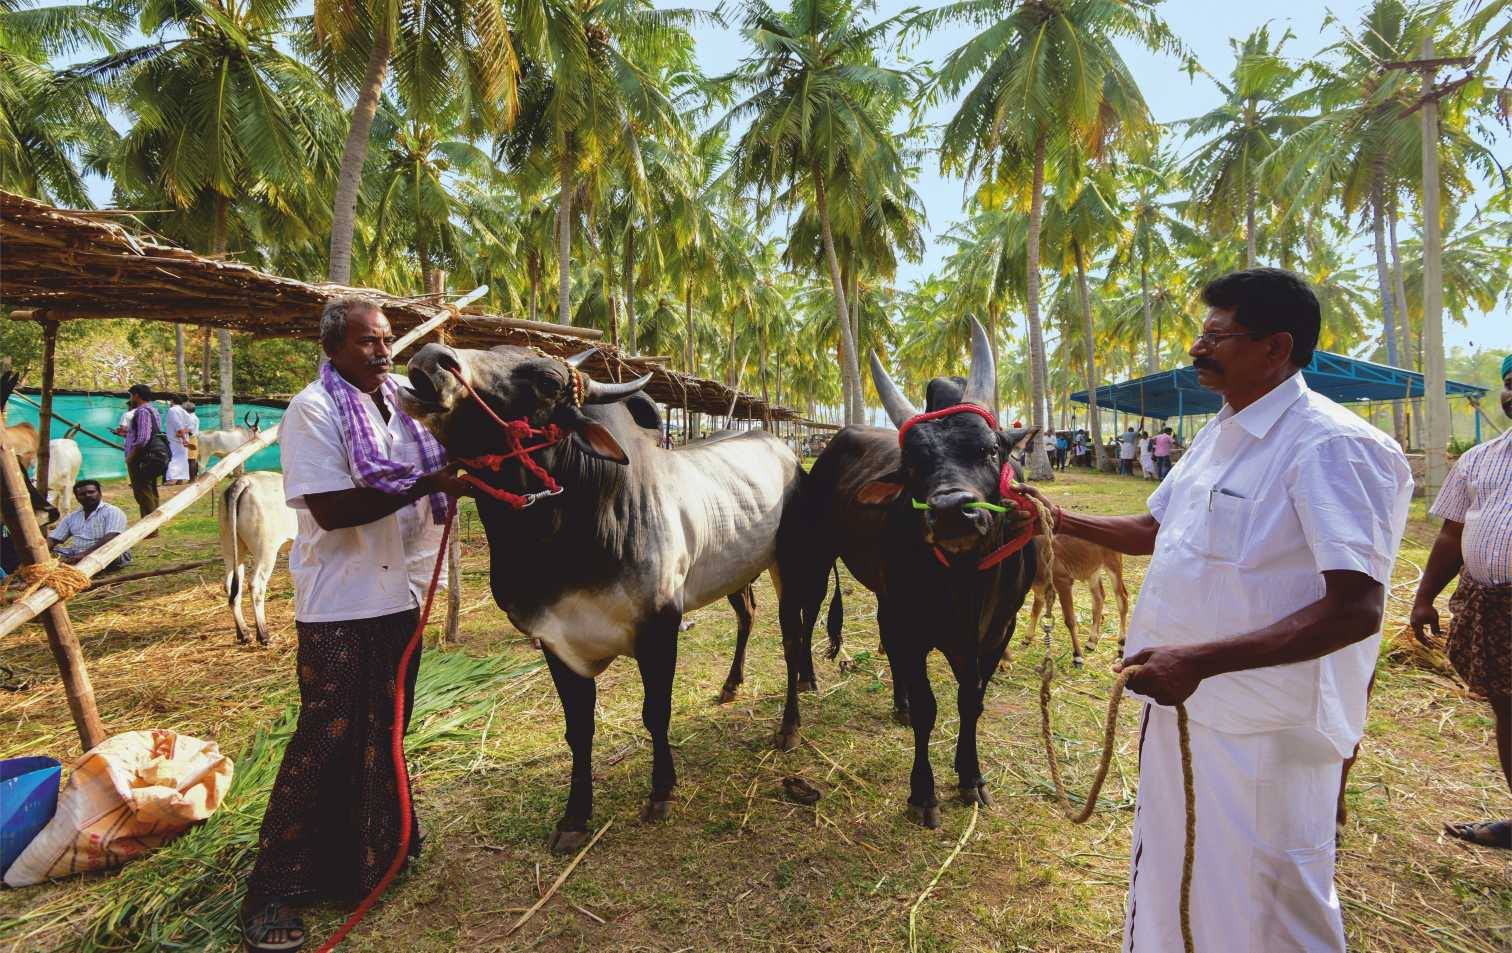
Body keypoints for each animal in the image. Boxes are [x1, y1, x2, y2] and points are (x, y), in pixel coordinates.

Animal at [220, 471, 296, 647]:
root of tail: (244, 480)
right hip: (266, 551)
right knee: (256, 585)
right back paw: (263, 635)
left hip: (231, 550)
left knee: (231, 586)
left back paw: (243, 633)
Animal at [399, 347, 804, 853]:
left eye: (548, 382)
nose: (432, 357)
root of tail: (780, 446)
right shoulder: (557, 643)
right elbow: (579, 730)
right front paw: (575, 815)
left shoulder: (659, 630)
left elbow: (656, 713)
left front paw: (661, 791)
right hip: (737, 572)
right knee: (747, 615)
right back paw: (731, 685)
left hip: (789, 566)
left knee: (792, 642)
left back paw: (789, 725)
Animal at [774, 319, 1046, 828]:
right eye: (913, 464)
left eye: (991, 449)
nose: (953, 510)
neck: (966, 580)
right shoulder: (914, 625)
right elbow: (928, 708)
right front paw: (923, 792)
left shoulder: (997, 631)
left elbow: (971, 701)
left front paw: (971, 777)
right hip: (814, 566)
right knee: (799, 631)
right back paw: (793, 716)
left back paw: (889, 701)